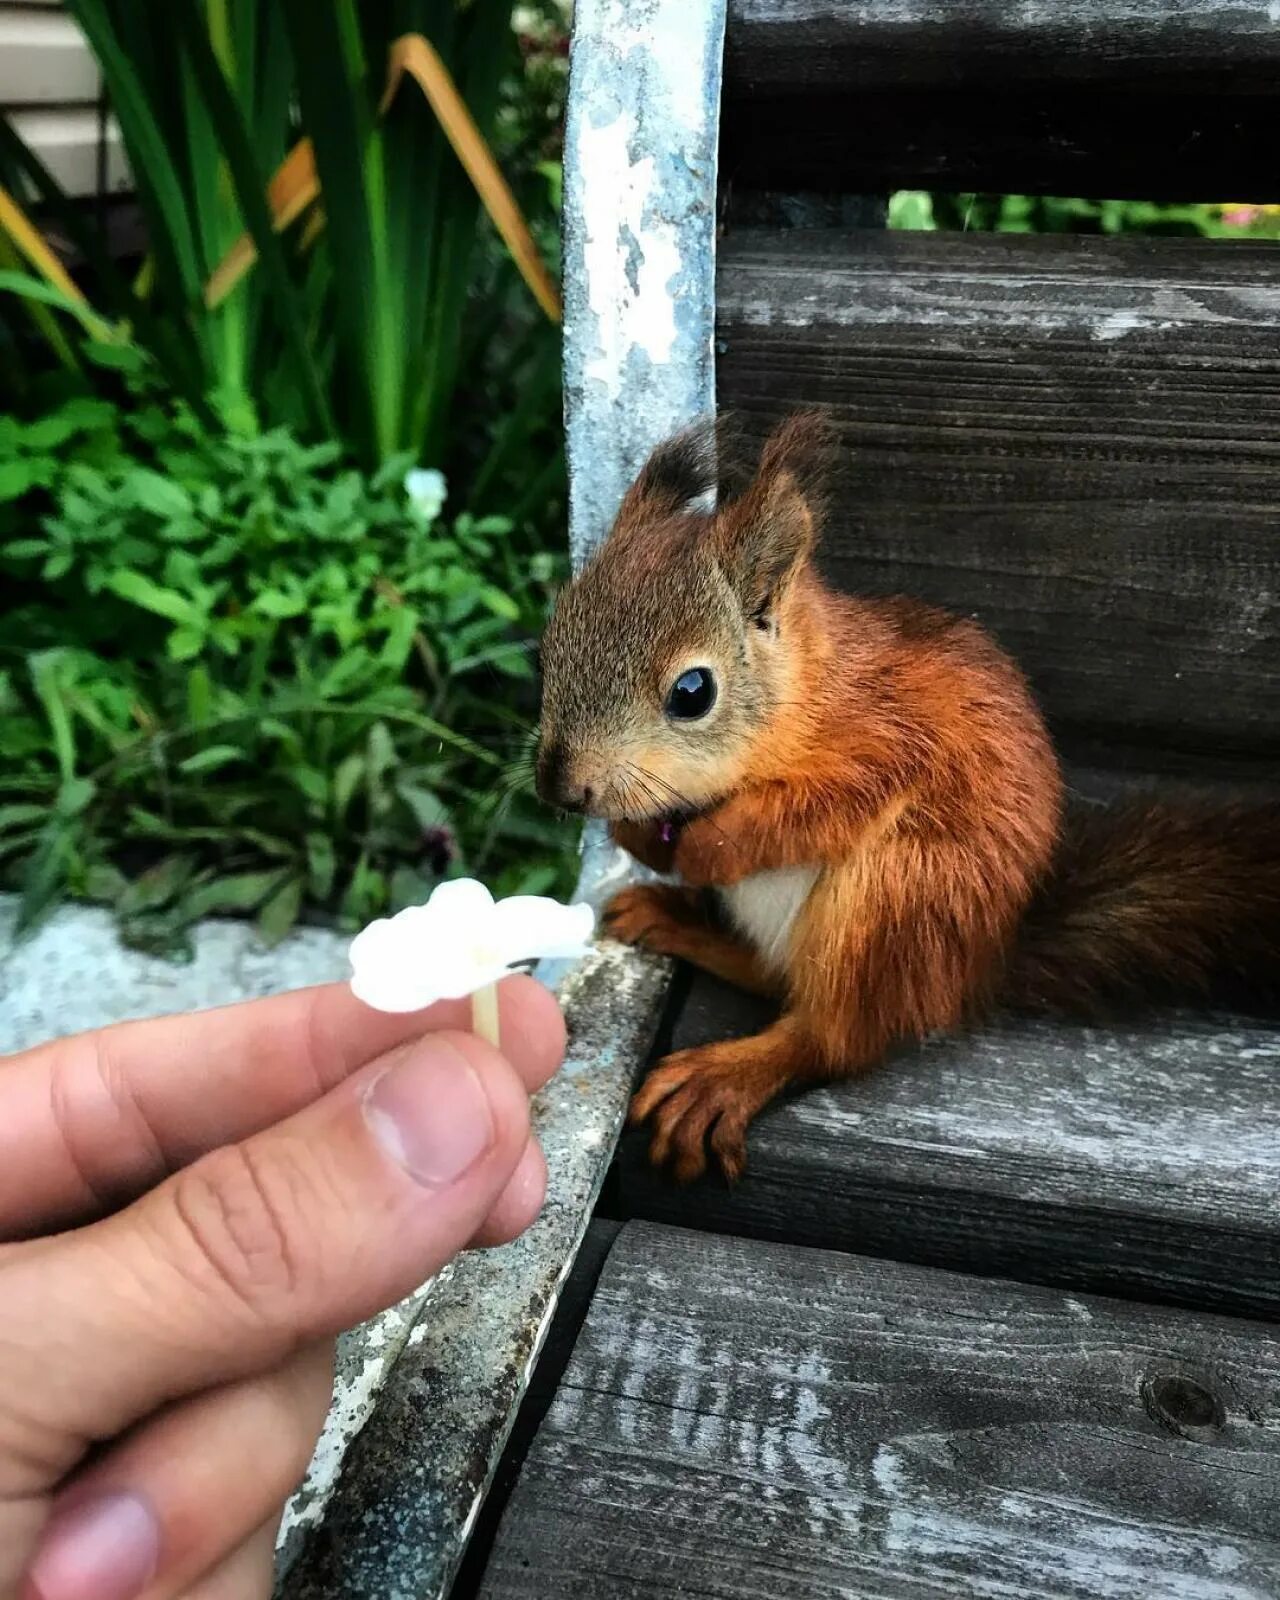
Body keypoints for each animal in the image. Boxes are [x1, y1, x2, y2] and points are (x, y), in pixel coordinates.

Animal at [531, 419, 1280, 1184]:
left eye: (692, 693)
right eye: (548, 647)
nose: (562, 787)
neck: (809, 698)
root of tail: (973, 969)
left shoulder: (893, 746)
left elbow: (814, 811)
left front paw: (711, 845)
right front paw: (639, 838)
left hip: (896, 899)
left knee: (837, 1037)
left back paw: (734, 1072)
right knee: (774, 978)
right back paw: (682, 923)